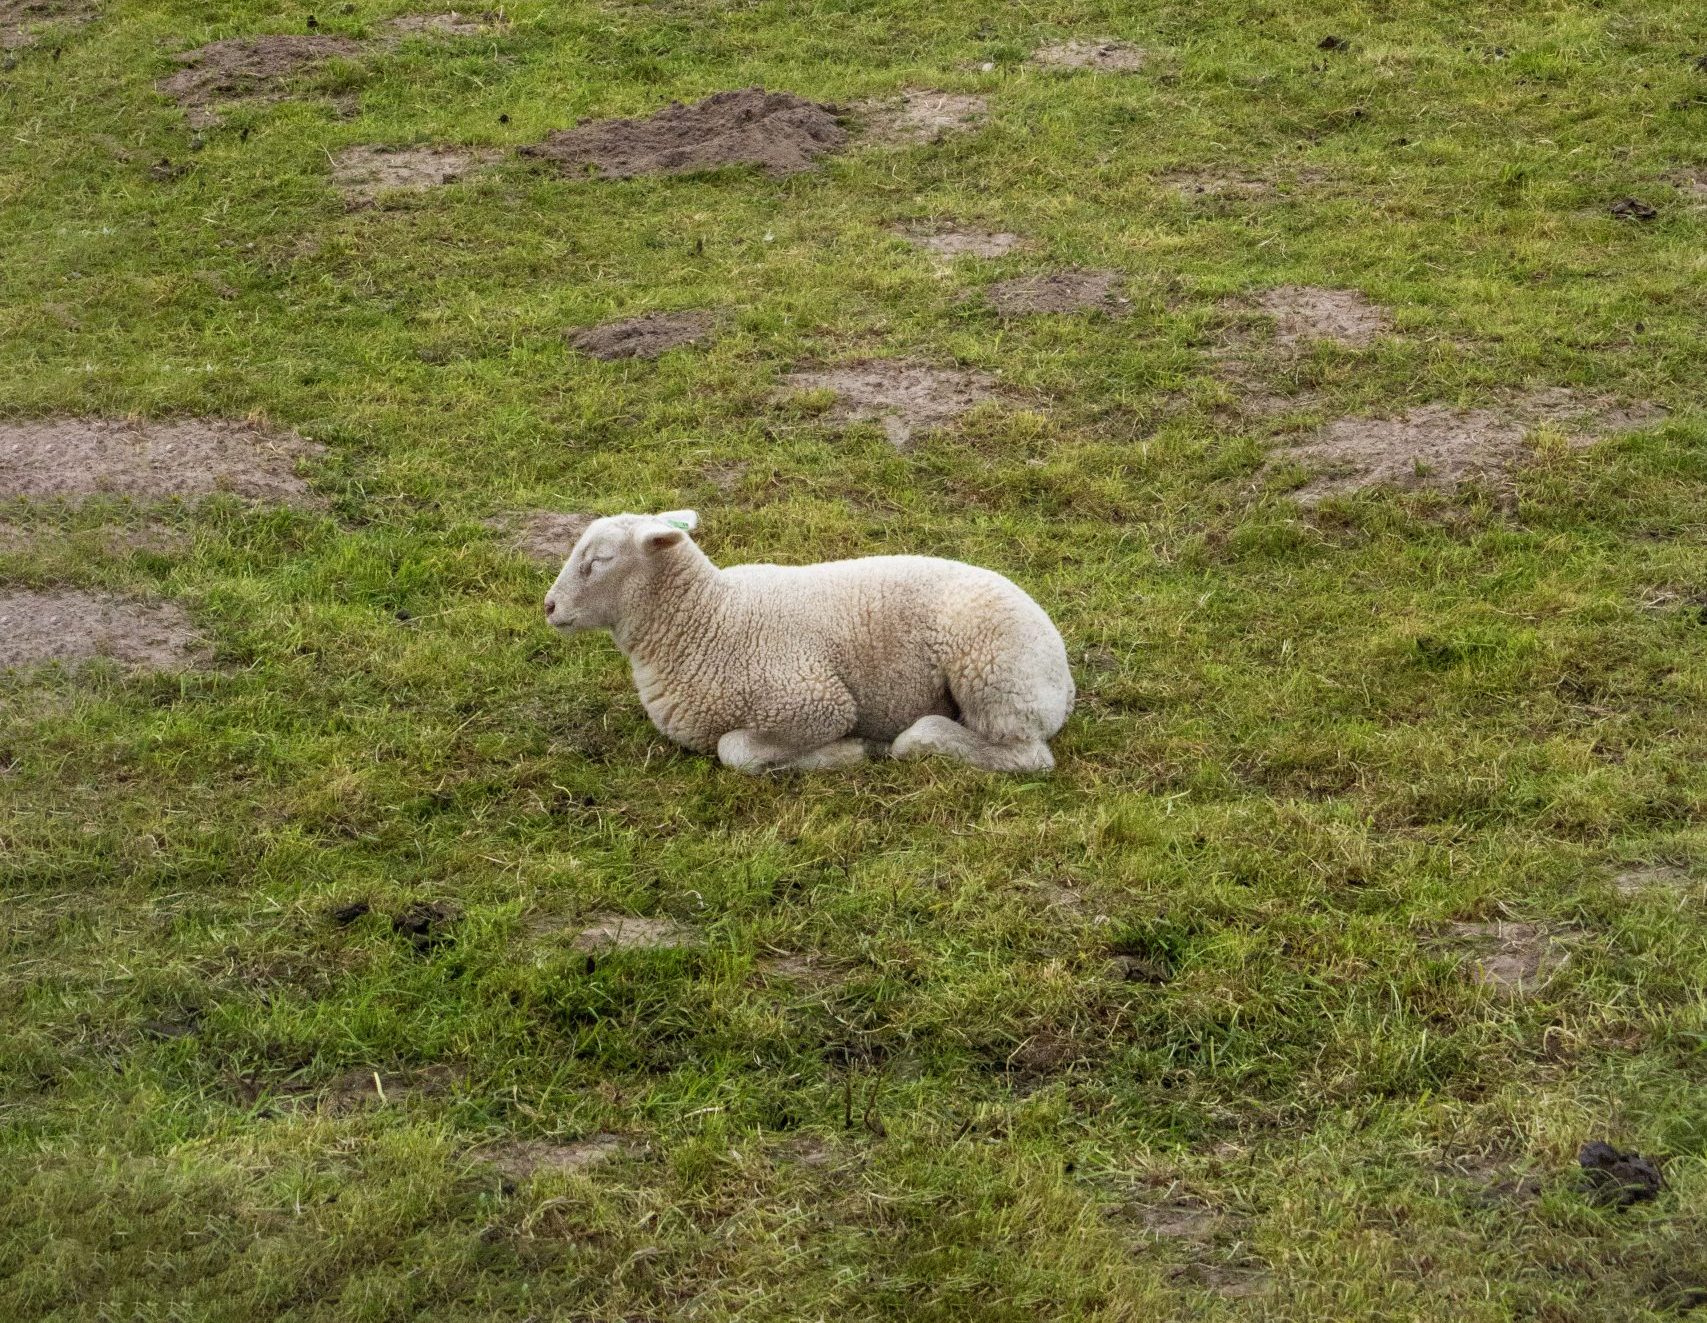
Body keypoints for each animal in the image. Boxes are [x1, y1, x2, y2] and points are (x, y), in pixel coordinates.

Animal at [542, 511, 1074, 773]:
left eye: (600, 560)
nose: (548, 606)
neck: (707, 617)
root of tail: (1064, 679)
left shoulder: (814, 700)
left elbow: (734, 750)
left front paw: (846, 752)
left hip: (994, 676)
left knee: (1027, 756)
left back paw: (917, 739)